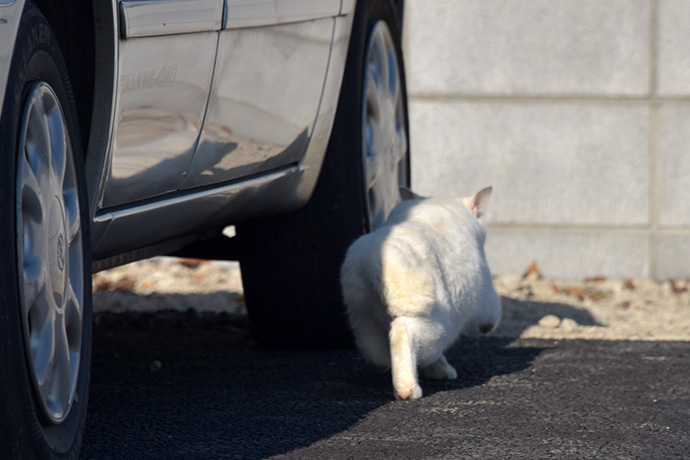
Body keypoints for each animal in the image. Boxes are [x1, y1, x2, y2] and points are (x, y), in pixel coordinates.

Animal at [338, 187, 500, 398]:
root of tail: (374, 257)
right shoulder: (484, 292)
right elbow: (489, 315)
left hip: (363, 317)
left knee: (377, 354)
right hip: (437, 325)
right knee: (403, 332)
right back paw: (409, 388)